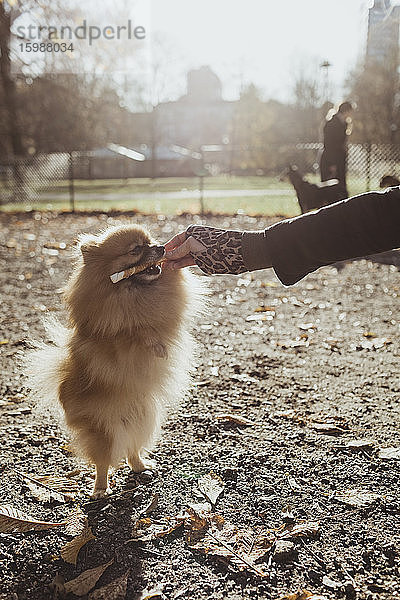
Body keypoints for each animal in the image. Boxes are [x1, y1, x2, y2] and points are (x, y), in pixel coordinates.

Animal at [28, 224, 200, 496]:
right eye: (135, 250)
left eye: (151, 241)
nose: (161, 248)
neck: (130, 293)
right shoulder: (114, 342)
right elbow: (134, 333)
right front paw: (155, 344)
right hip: (103, 430)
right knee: (103, 461)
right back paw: (101, 488)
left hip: (143, 419)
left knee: (132, 448)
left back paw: (140, 466)